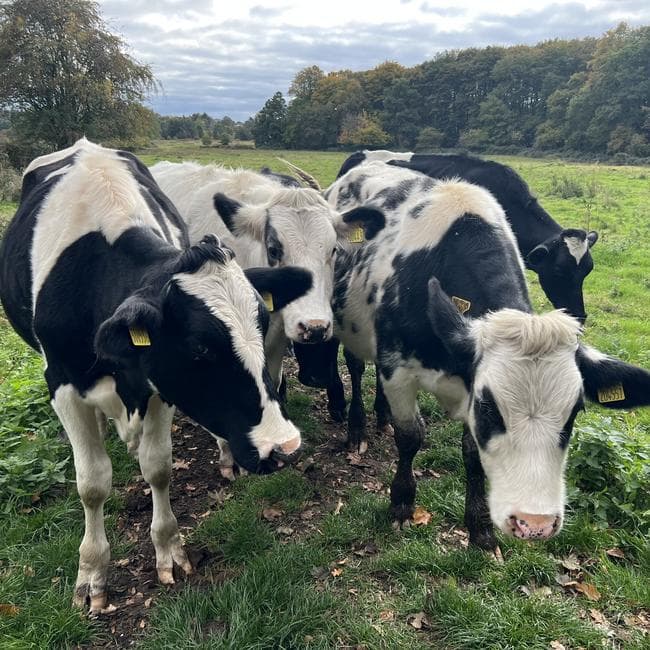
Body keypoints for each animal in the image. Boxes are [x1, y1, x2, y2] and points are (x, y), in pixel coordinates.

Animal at [0, 139, 312, 612]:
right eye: (200, 348)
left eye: (263, 322)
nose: (284, 446)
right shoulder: (63, 385)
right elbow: (92, 482)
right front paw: (92, 573)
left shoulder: (157, 387)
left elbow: (159, 467)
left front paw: (169, 549)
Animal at [320, 160, 650, 550]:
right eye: (490, 407)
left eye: (574, 413)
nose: (534, 523)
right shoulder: (397, 368)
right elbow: (411, 436)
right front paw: (401, 504)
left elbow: (472, 452)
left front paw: (480, 529)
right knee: (356, 369)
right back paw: (356, 428)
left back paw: (381, 415)